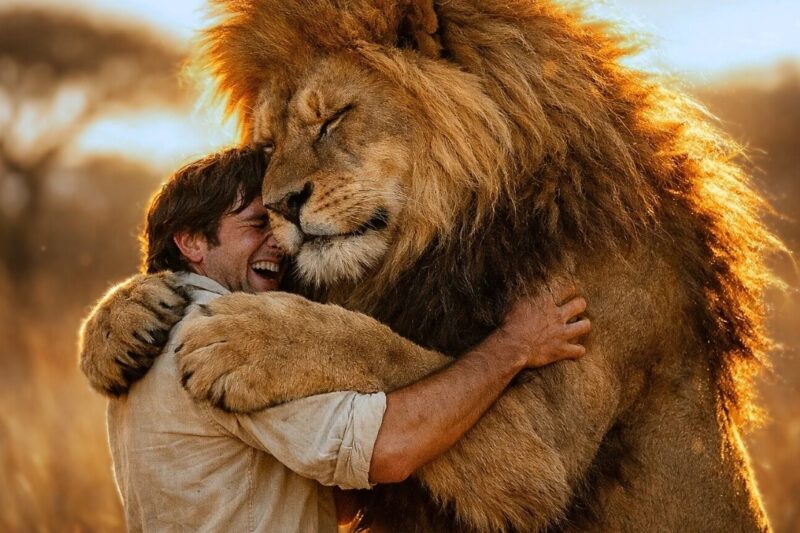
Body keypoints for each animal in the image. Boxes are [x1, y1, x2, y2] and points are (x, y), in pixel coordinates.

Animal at [79, 0, 779, 530]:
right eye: (270, 144)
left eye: (333, 118)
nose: (280, 205)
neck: (452, 236)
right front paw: (117, 323)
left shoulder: (544, 451)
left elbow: (396, 351)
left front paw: (249, 339)